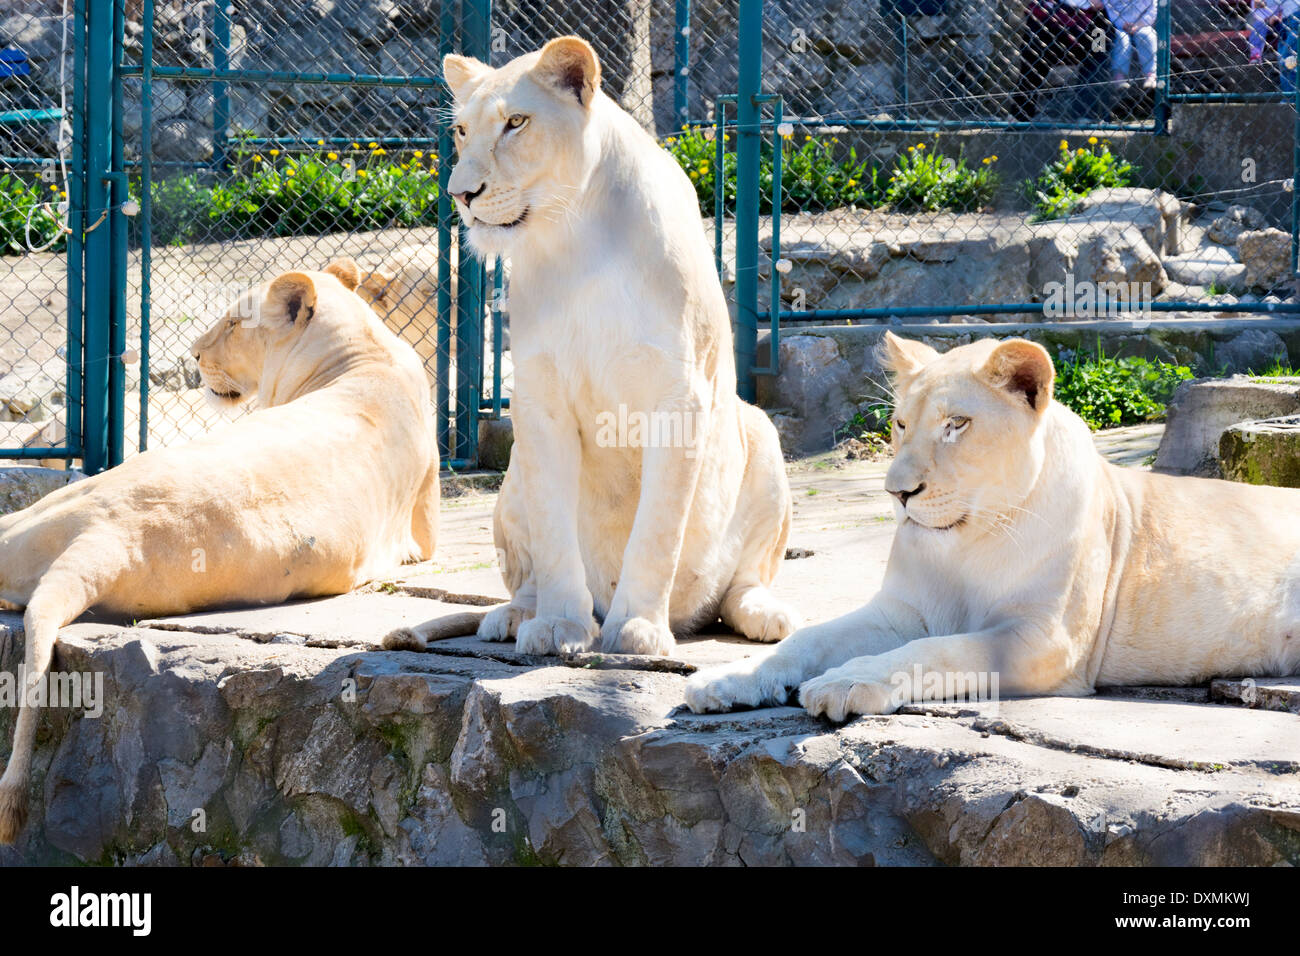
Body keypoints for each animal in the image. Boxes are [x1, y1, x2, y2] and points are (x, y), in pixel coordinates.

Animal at [393, 36, 798, 657]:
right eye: (460, 130)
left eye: (515, 122)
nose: (461, 193)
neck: (575, 235)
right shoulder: (538, 399)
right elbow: (554, 531)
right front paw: (560, 626)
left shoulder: (680, 393)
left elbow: (657, 528)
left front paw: (637, 630)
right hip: (511, 476)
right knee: (526, 574)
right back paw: (513, 617)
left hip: (762, 436)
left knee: (741, 586)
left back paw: (762, 615)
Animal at [686, 332, 1300, 719]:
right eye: (900, 425)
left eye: (956, 425)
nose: (897, 492)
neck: (965, 545)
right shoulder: (899, 613)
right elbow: (807, 639)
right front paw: (728, 678)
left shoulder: (1044, 641)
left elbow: (936, 652)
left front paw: (845, 682)